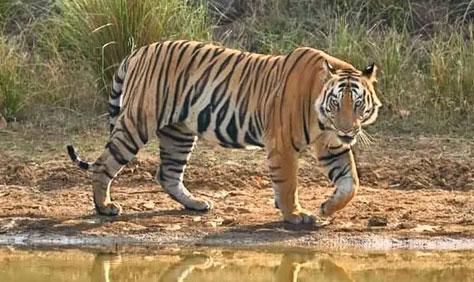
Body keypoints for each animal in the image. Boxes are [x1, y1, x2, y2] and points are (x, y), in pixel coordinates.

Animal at [65, 40, 382, 225]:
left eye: (358, 104)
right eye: (336, 103)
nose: (347, 129)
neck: (324, 120)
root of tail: (140, 50)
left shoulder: (332, 146)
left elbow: (351, 183)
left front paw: (327, 208)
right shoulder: (282, 144)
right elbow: (288, 183)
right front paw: (295, 215)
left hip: (179, 132)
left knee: (168, 174)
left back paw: (196, 204)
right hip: (137, 122)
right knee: (104, 164)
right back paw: (104, 207)